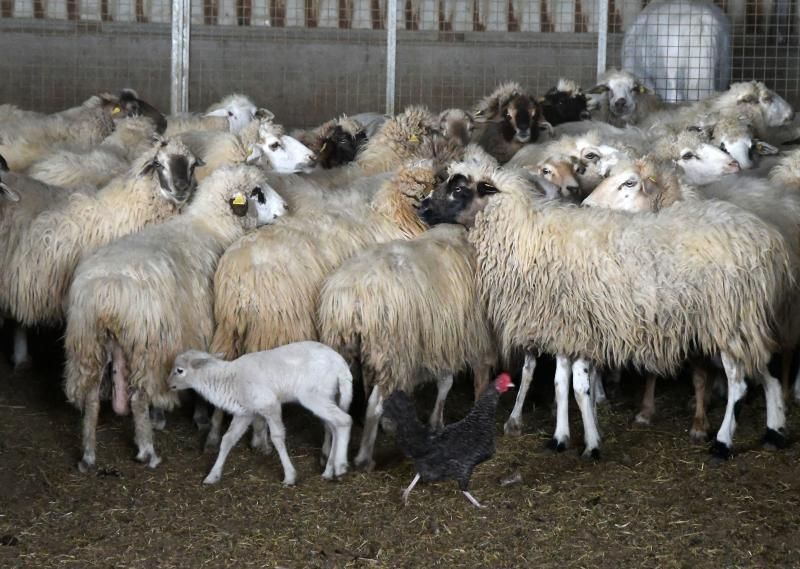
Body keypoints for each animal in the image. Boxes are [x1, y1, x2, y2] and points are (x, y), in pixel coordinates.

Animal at [65, 163, 288, 470]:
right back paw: (148, 451)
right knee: (138, 397)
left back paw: (88, 456)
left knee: (90, 398)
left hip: (88, 344)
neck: (212, 227)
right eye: (257, 193)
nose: (286, 208)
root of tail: (106, 293)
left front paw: (163, 418)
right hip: (148, 345)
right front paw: (200, 418)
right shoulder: (200, 328)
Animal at [167, 342, 352, 484]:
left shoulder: (269, 404)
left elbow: (277, 437)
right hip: (330, 395)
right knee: (334, 427)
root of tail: (341, 365)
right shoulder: (245, 413)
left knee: (344, 421)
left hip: (315, 395)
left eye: (180, 370)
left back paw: (340, 466)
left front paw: (289, 476)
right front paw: (213, 476)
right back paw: (329, 470)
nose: (168, 384)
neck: (230, 378)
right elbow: (227, 439)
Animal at [422, 163, 792, 458]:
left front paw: (590, 445)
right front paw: (563, 438)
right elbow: (561, 385)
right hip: (742, 322)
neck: (526, 235)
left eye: (458, 189)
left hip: (729, 319)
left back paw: (723, 442)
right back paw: (775, 431)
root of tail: (767, 237)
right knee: (769, 372)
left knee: (739, 384)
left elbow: (578, 388)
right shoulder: (566, 328)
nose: (422, 207)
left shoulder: (576, 326)